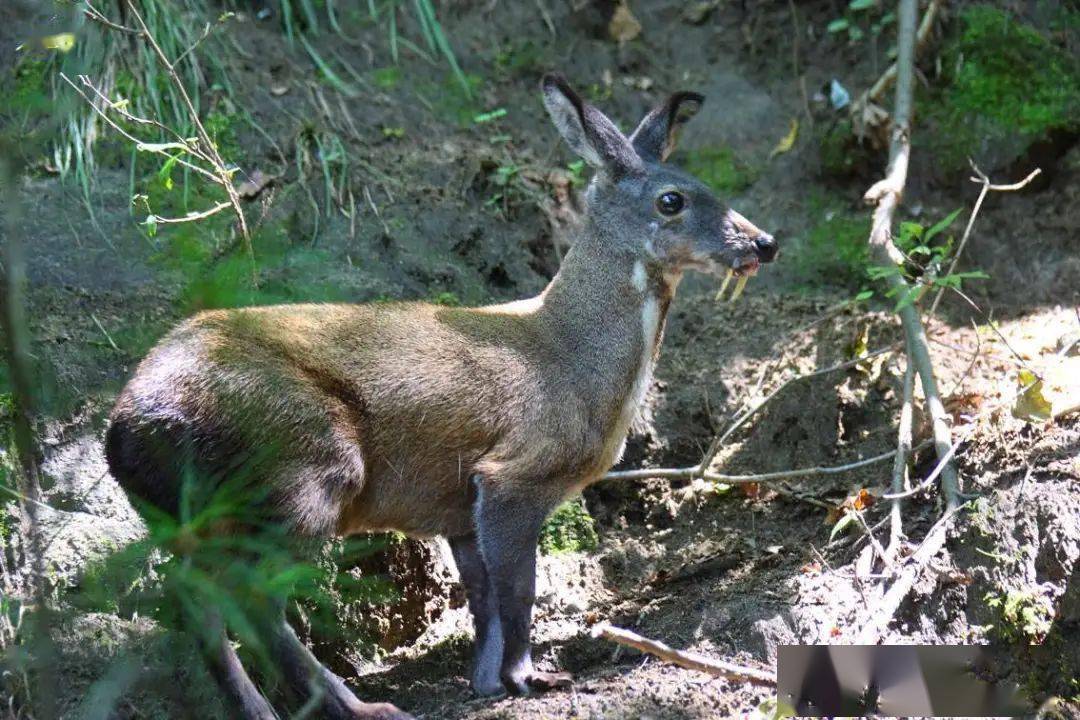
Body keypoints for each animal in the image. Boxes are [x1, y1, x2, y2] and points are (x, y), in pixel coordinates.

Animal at [105, 74, 777, 720]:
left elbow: (484, 599)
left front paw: (487, 681)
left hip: (191, 513)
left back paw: (261, 708)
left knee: (196, 600)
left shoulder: (457, 505)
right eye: (672, 199)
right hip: (301, 464)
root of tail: (126, 427)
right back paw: (362, 706)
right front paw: (530, 677)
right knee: (252, 597)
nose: (764, 242)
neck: (573, 362)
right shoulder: (515, 472)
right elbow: (519, 589)